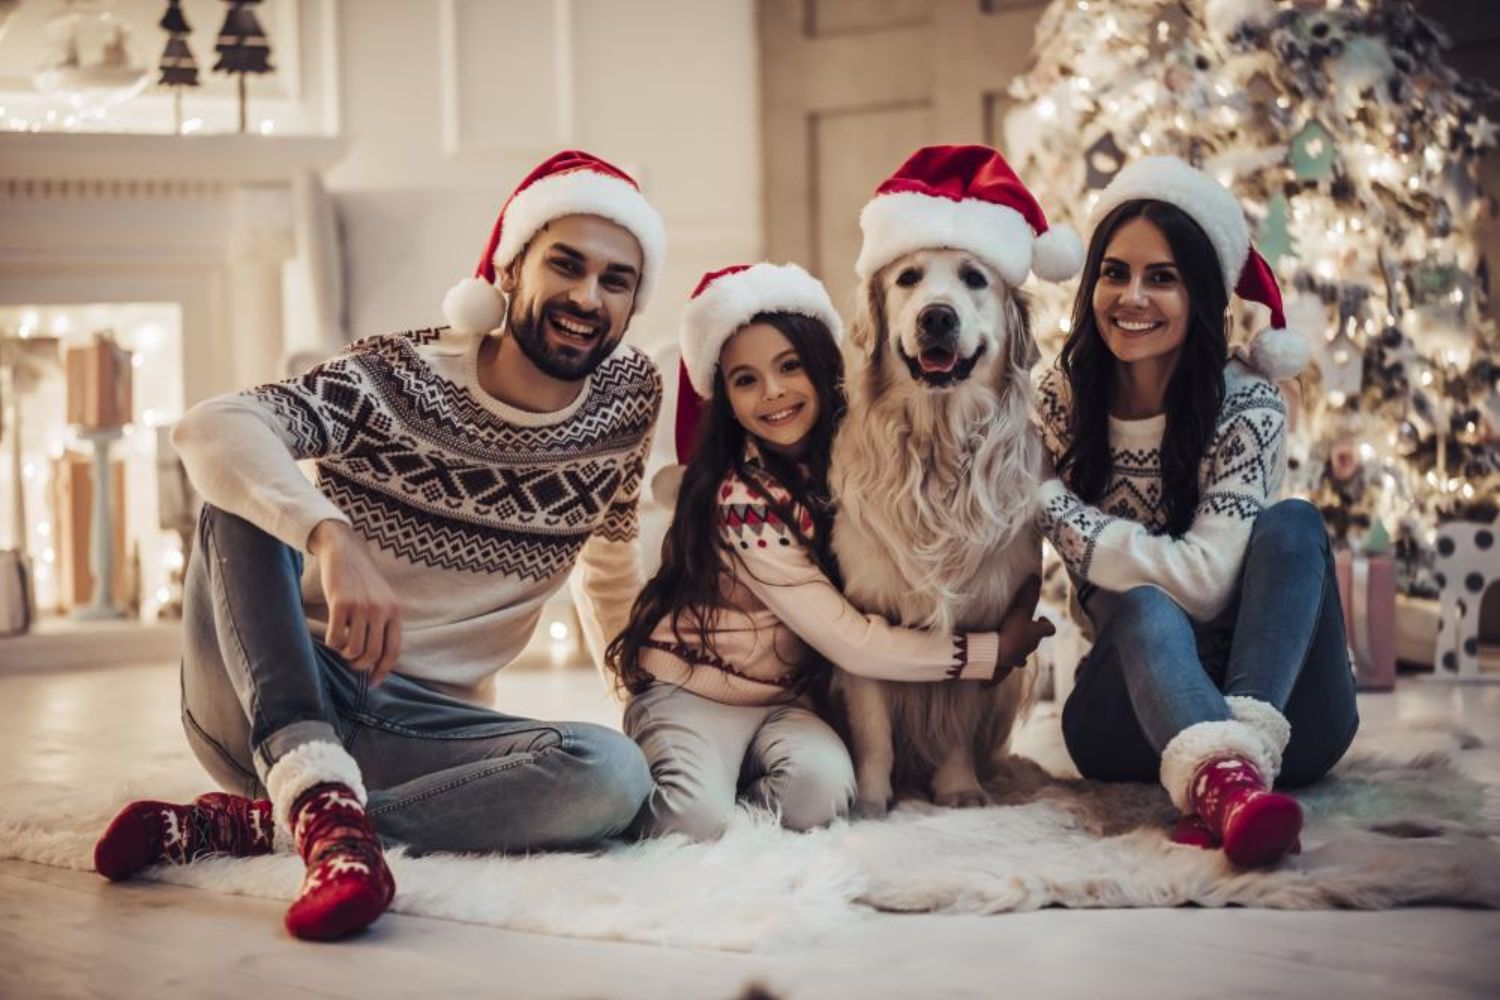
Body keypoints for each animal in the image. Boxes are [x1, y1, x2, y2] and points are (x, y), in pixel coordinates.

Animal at [834, 245, 1044, 815]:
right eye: (907, 278)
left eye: (975, 278)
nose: (937, 318)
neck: (936, 448)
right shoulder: (866, 617)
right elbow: (874, 732)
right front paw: (871, 801)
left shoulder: (983, 622)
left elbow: (957, 723)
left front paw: (958, 788)